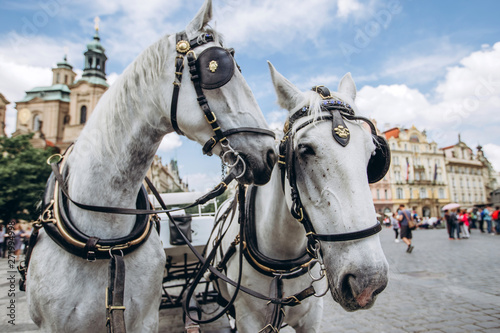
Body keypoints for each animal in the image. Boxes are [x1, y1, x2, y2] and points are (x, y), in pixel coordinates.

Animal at [211, 63, 390, 332]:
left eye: (372, 153)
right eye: (305, 149)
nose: (369, 280)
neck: (282, 263)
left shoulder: (312, 316)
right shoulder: (247, 320)